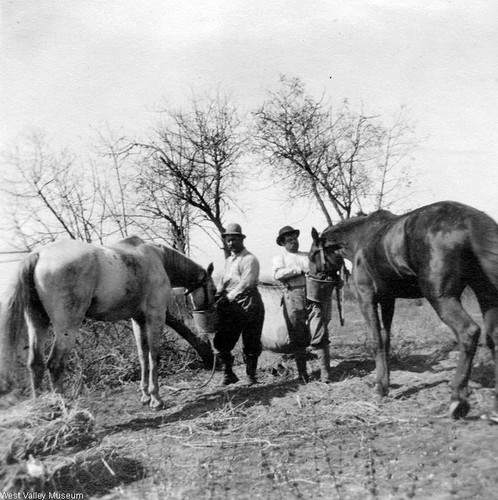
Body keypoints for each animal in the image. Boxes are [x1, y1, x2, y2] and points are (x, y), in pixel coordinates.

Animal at [310, 201, 498, 420]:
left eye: (313, 255)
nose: (312, 287)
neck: (360, 238)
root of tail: (469, 219)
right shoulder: (388, 301)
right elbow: (386, 339)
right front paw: (385, 382)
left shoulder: (367, 300)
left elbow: (376, 340)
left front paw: (379, 388)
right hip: (486, 295)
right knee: (493, 337)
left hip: (441, 297)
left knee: (468, 332)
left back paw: (457, 399)